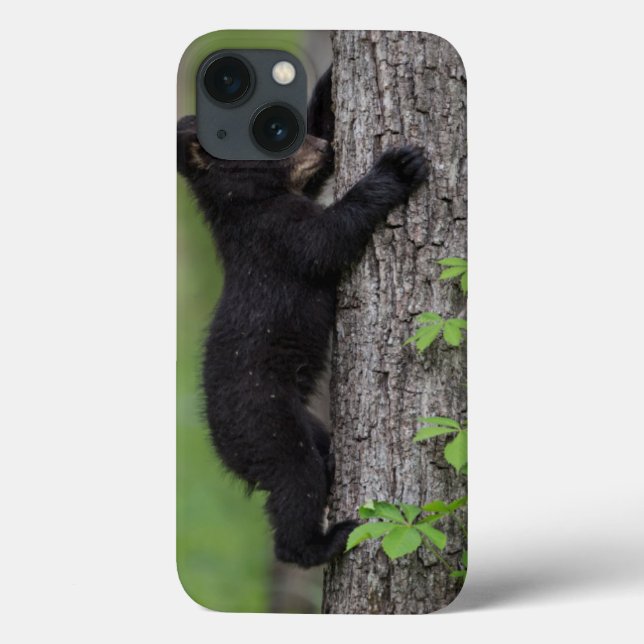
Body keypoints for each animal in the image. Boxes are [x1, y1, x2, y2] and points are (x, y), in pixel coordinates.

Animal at [177, 68, 428, 568]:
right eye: (274, 132)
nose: (323, 147)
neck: (245, 203)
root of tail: (218, 449)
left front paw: (331, 85)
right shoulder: (275, 234)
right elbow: (327, 239)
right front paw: (397, 167)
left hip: (302, 423)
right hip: (266, 423)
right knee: (295, 482)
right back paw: (324, 541)